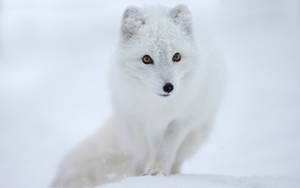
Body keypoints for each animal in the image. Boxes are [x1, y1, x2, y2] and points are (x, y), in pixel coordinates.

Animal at [52, 4, 225, 188]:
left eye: (177, 56)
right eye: (146, 59)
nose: (168, 87)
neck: (158, 106)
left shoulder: (180, 120)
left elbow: (166, 149)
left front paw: (158, 173)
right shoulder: (137, 120)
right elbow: (143, 154)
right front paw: (139, 177)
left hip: (196, 135)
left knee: (176, 159)